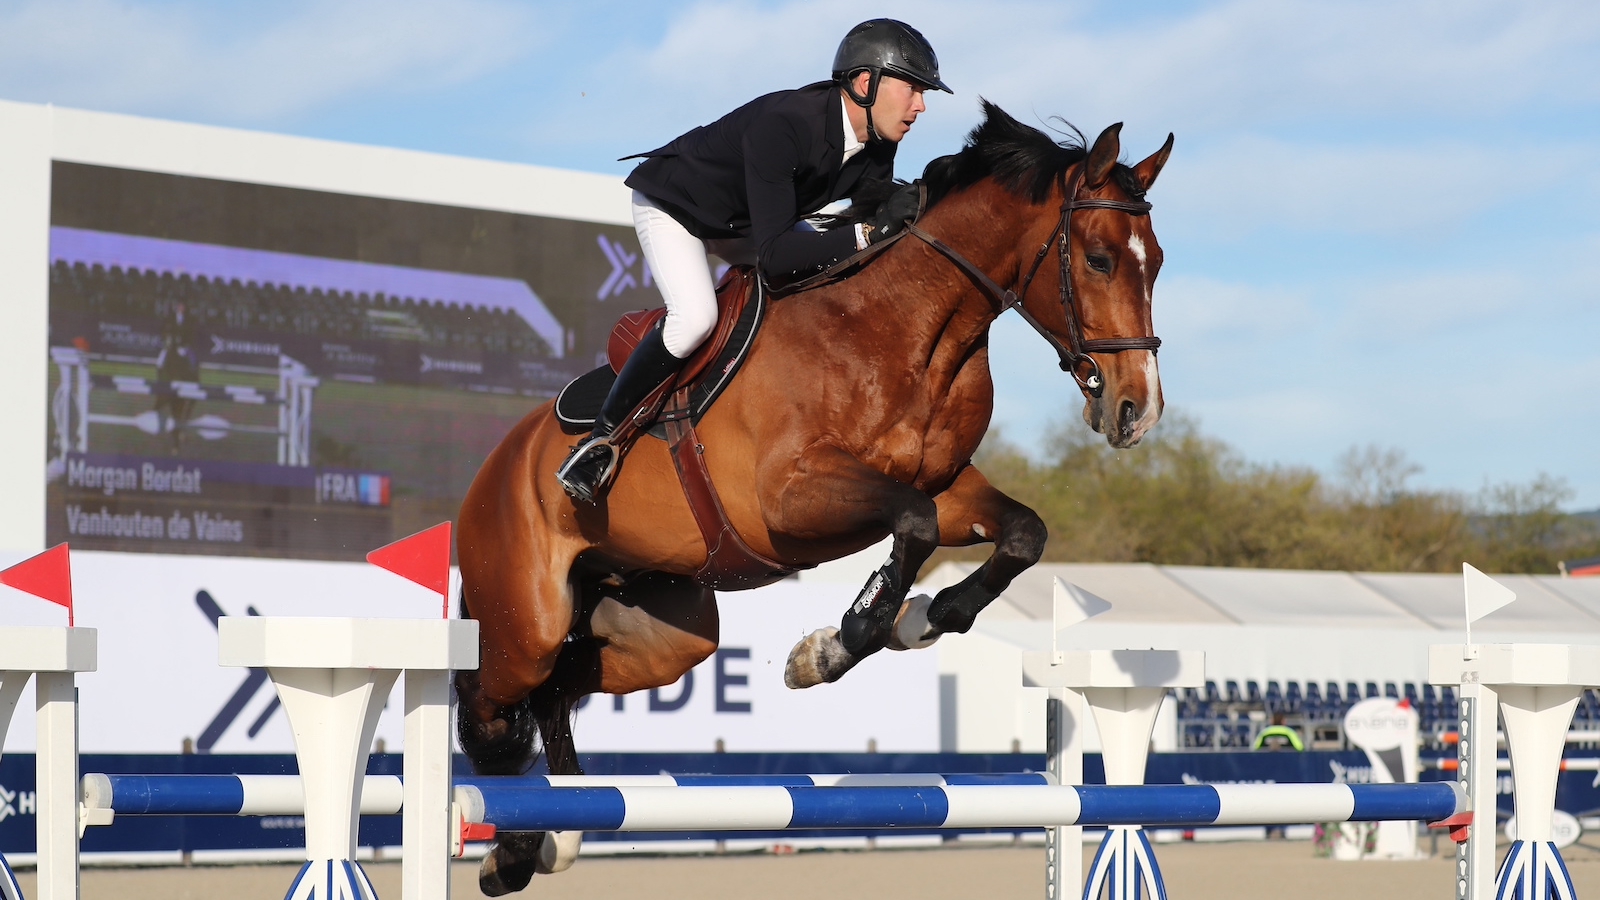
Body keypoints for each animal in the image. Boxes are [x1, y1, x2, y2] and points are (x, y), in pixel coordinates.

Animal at [457, 99, 1171, 890]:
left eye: (1157, 263)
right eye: (1100, 258)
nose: (1137, 410)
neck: (907, 327)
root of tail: (496, 465)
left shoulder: (947, 486)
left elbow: (1019, 533)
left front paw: (922, 618)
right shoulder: (789, 498)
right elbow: (915, 526)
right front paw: (834, 647)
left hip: (664, 633)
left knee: (556, 686)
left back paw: (554, 832)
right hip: (529, 616)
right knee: (494, 699)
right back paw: (512, 849)